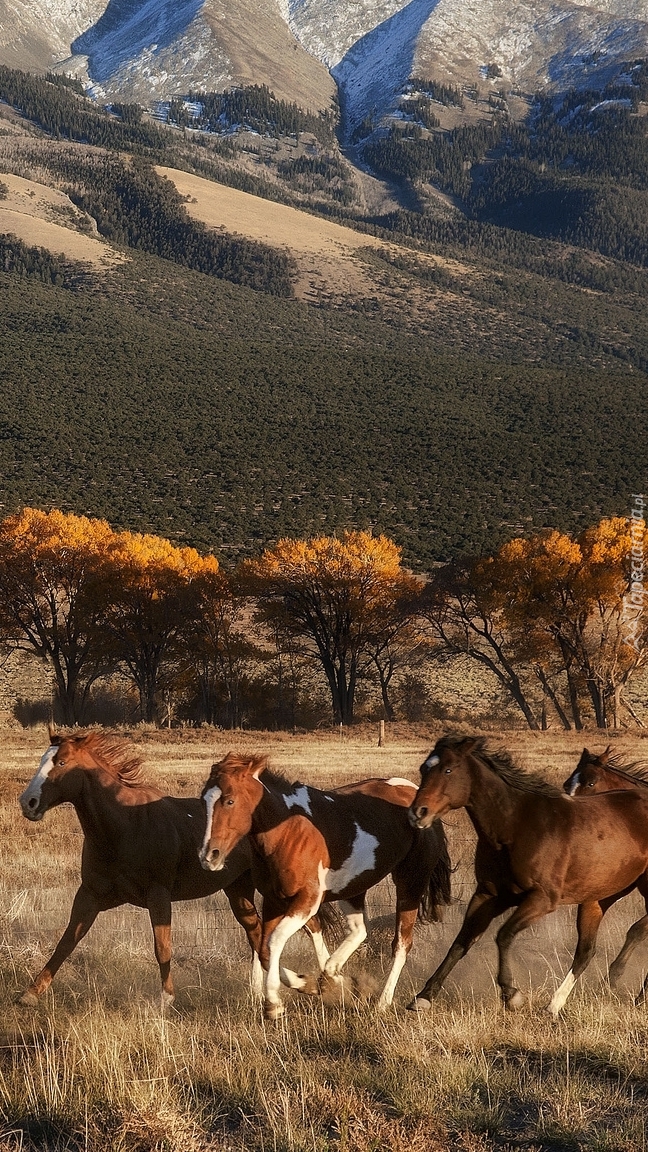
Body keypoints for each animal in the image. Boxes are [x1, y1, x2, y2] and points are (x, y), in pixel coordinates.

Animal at [18, 737, 329, 1009]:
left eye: (61, 762)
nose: (28, 802)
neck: (124, 825)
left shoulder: (158, 894)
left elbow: (162, 947)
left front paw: (166, 1000)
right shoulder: (90, 895)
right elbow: (67, 941)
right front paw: (30, 994)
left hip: (279, 889)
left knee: (307, 926)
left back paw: (320, 981)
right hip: (238, 890)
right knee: (257, 933)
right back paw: (266, 989)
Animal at [198, 755, 449, 1018]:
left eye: (229, 800)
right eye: (204, 801)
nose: (209, 856)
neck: (288, 831)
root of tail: (415, 795)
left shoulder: (308, 899)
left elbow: (274, 940)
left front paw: (274, 1004)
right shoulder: (274, 900)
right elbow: (264, 948)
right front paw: (311, 984)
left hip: (410, 883)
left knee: (401, 944)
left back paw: (382, 1002)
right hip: (353, 889)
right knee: (359, 931)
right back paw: (336, 978)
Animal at [408, 737, 648, 1018]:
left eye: (448, 769)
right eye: (424, 769)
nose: (418, 812)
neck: (515, 827)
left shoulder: (541, 899)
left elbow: (503, 935)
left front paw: (511, 994)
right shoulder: (489, 895)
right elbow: (462, 941)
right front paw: (423, 997)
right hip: (599, 897)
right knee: (586, 951)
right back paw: (555, 1006)